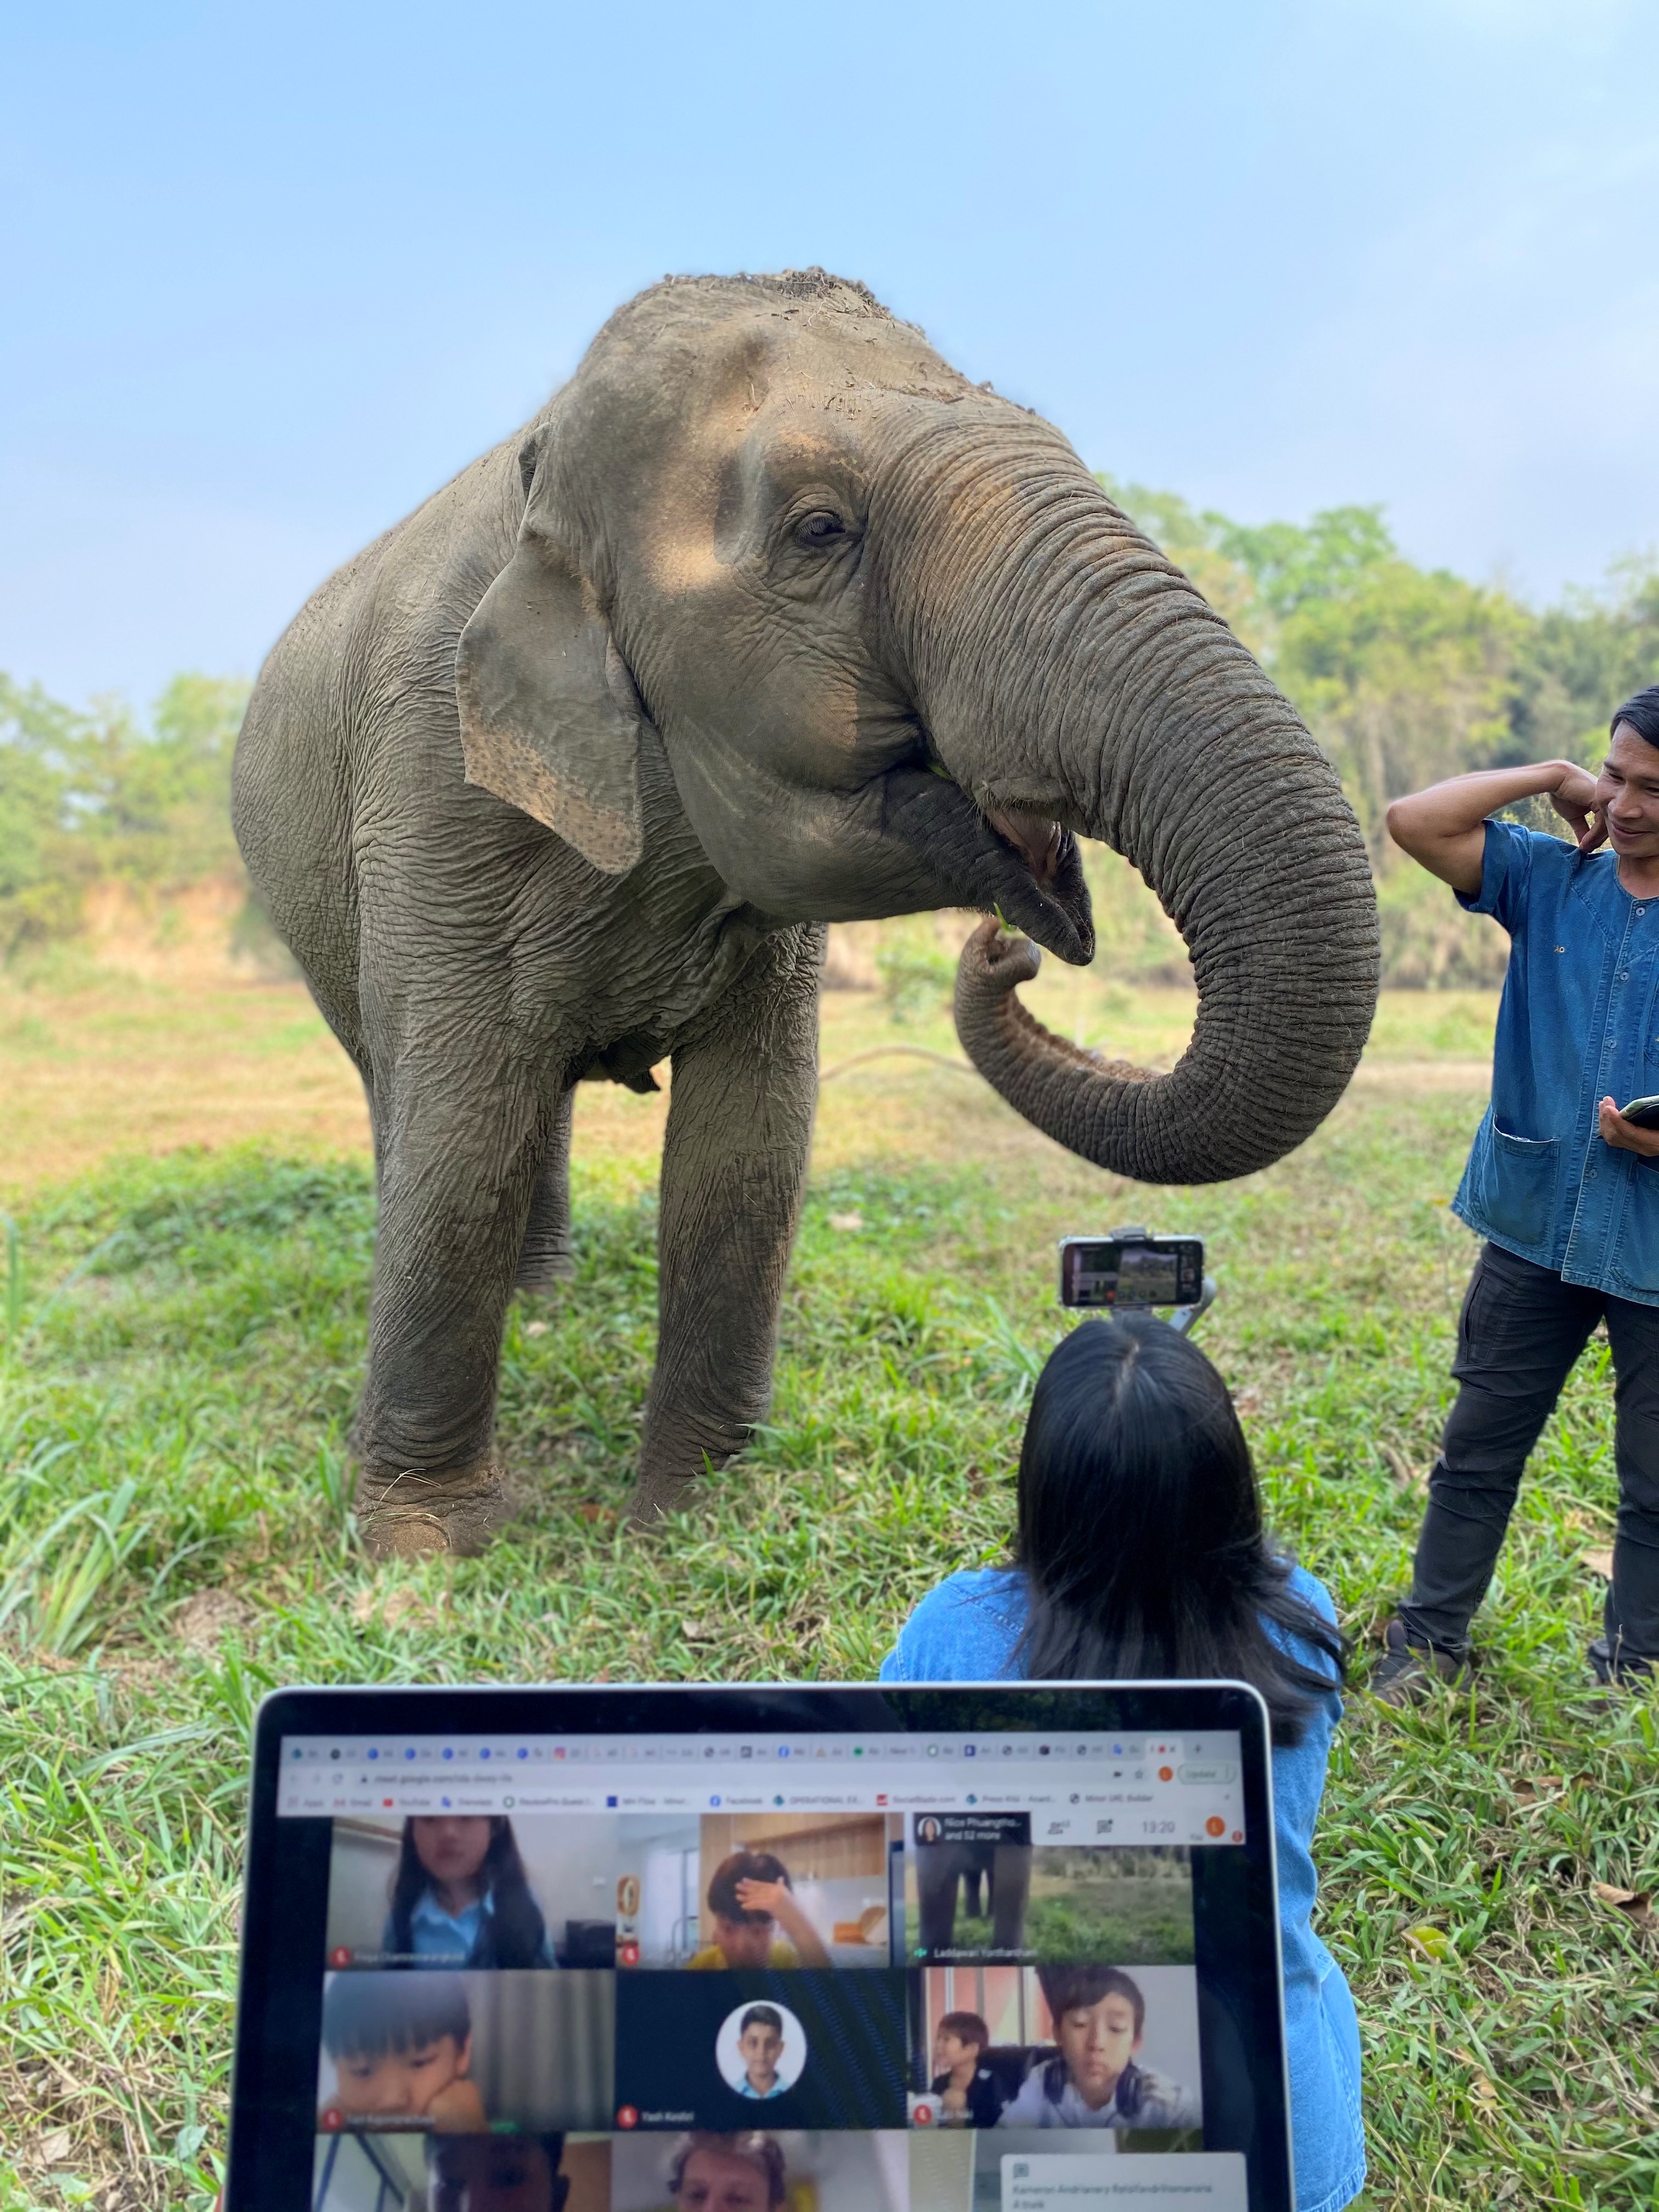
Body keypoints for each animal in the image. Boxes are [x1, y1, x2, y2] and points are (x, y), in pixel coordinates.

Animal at [234, 267, 1380, 1566]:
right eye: (819, 531)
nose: (1007, 949)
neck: (550, 461)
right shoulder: (434, 780)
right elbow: (464, 1138)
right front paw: (429, 1552)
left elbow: (751, 1148)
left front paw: (696, 1512)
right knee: (416, 1101)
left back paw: (551, 1299)